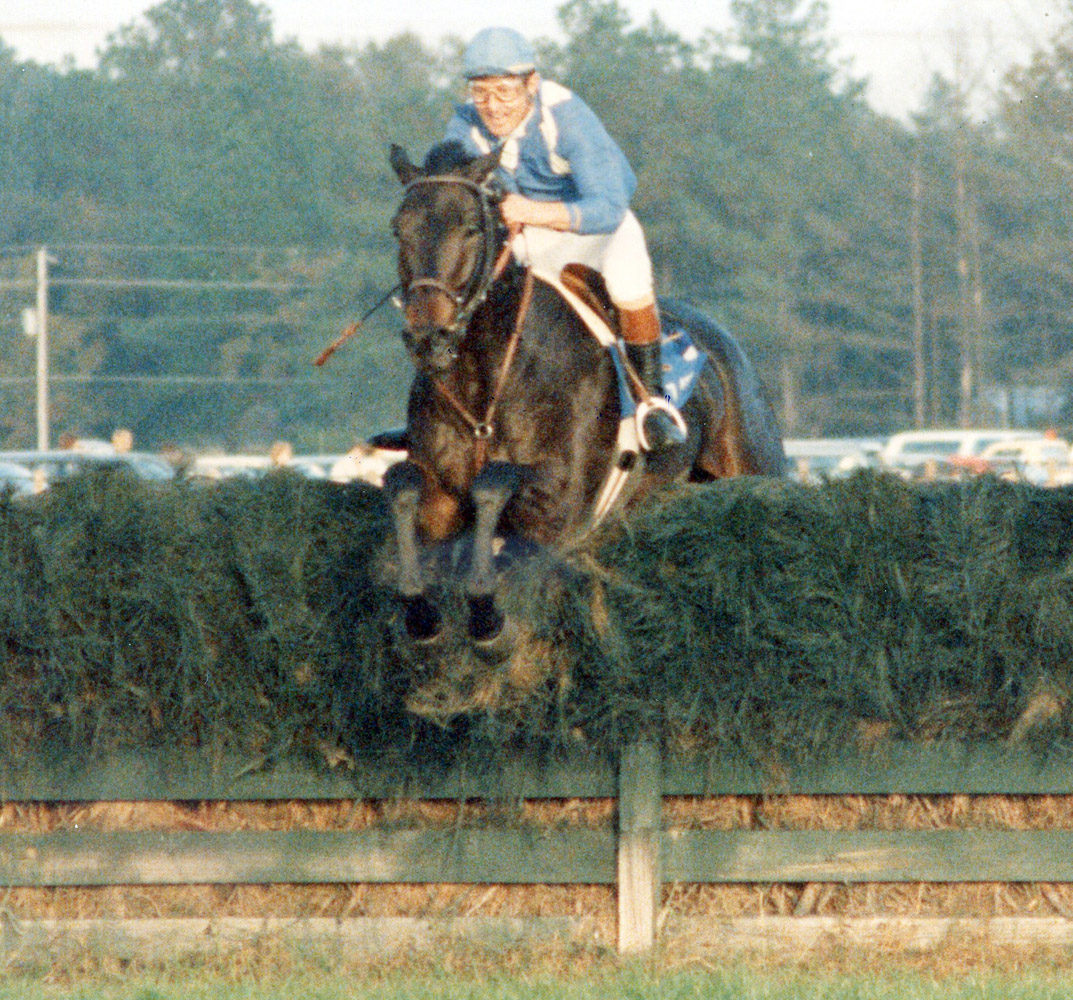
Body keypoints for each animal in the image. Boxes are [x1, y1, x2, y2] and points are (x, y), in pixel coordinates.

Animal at [381, 142, 785, 648]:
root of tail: (727, 347)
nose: (427, 339)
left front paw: (488, 618)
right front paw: (421, 613)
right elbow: (403, 486)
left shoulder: (556, 505)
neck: (485, 387)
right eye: (400, 229)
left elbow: (495, 483)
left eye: (470, 228)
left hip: (753, 462)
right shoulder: (440, 497)